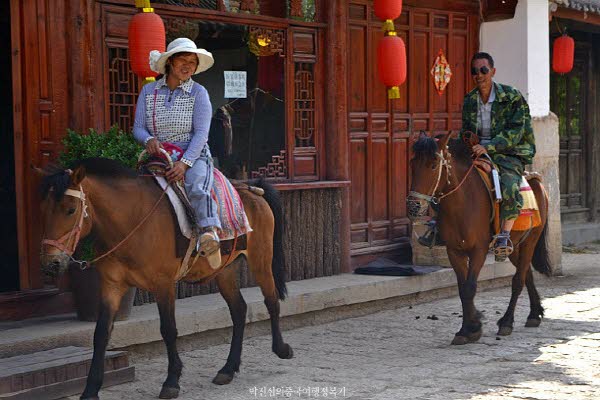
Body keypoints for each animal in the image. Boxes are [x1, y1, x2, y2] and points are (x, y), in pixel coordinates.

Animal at [38, 158, 292, 398]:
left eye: (71, 210)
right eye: (44, 209)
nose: (52, 263)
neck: (131, 221)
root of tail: (253, 189)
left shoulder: (163, 284)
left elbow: (168, 329)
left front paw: (171, 382)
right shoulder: (112, 285)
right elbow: (101, 334)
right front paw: (90, 390)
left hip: (261, 258)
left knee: (271, 299)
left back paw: (281, 349)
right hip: (224, 271)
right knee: (238, 309)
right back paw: (228, 369)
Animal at [406, 133, 552, 346]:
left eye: (433, 165)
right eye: (412, 163)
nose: (413, 206)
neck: (462, 203)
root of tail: (536, 180)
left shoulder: (479, 251)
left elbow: (470, 287)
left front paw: (471, 328)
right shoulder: (454, 251)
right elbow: (462, 289)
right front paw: (470, 325)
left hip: (530, 240)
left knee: (518, 280)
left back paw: (507, 321)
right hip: (515, 246)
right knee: (526, 274)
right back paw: (534, 313)